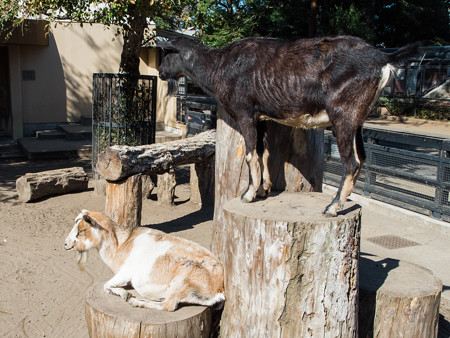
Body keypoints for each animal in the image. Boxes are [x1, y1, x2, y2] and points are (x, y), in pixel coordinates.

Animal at [63, 211, 225, 312]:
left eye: (81, 231)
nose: (65, 244)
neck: (122, 245)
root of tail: (219, 286)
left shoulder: (125, 273)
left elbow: (106, 285)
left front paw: (125, 295)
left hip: (181, 280)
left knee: (168, 306)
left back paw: (137, 302)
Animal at [156, 34, 420, 217]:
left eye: (166, 53)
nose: (159, 72)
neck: (219, 65)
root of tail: (383, 59)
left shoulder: (245, 113)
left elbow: (250, 154)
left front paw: (248, 194)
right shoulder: (261, 118)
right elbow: (263, 153)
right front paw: (263, 189)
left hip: (343, 115)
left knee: (352, 161)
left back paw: (332, 207)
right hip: (358, 121)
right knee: (362, 158)